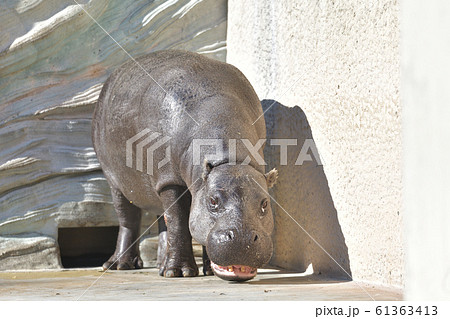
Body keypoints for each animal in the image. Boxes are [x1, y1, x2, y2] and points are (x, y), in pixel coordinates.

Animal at [92, 48, 278, 282]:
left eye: (265, 203)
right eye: (213, 201)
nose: (242, 241)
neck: (231, 159)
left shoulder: (178, 183)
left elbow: (177, 222)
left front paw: (202, 270)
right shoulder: (170, 181)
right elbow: (179, 222)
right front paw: (180, 272)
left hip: (155, 187)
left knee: (162, 220)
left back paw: (161, 265)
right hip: (116, 181)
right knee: (128, 220)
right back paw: (118, 265)